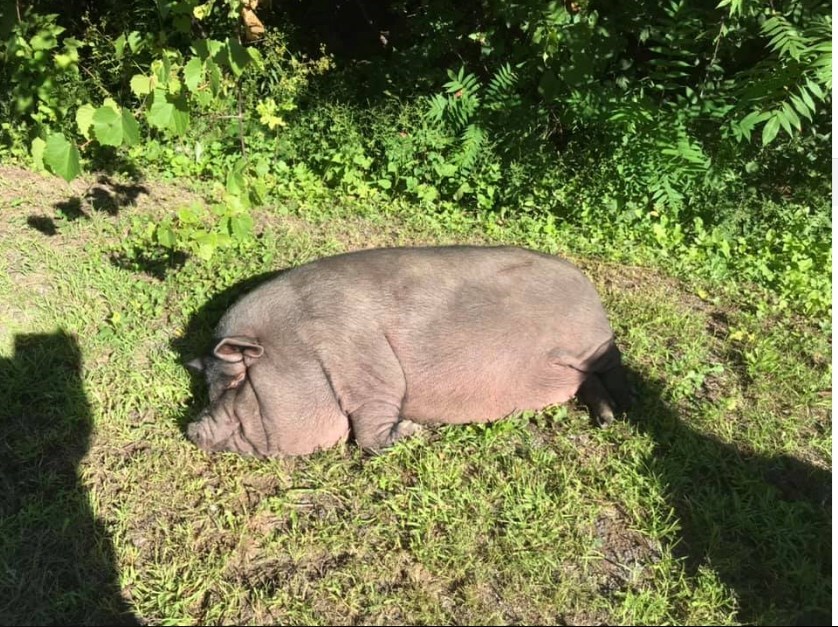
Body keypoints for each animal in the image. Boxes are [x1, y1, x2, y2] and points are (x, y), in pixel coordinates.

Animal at [185, 245, 631, 457]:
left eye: (236, 382)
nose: (191, 429)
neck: (301, 343)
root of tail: (585, 282)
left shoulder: (368, 368)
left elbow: (370, 429)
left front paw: (413, 431)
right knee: (587, 381)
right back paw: (605, 418)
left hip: (594, 344)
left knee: (614, 369)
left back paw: (620, 413)